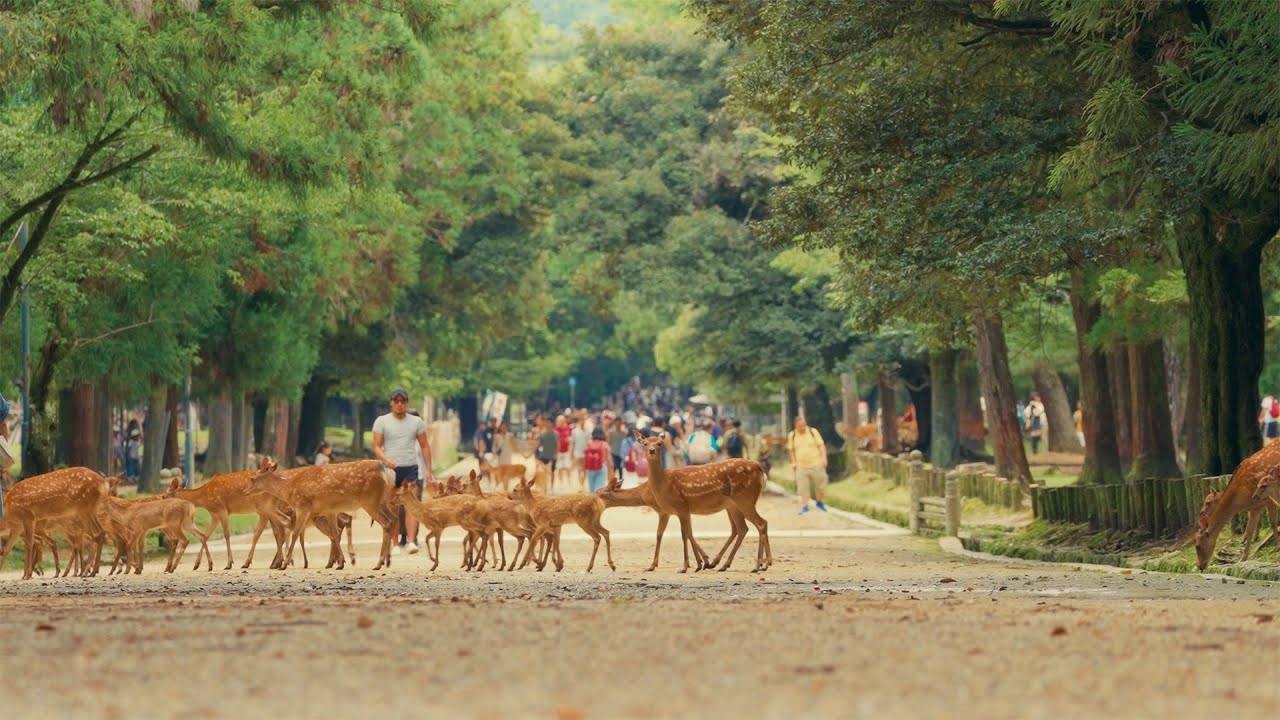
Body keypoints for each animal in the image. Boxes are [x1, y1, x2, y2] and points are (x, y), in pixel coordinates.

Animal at [244, 458, 397, 571]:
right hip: (382, 501)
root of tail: (387, 471)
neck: (288, 489)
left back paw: (378, 563)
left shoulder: (302, 506)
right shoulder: (329, 511)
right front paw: (340, 563)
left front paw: (284, 564)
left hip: (370, 500)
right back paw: (385, 561)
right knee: (392, 519)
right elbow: (334, 534)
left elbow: (295, 533)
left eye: (252, 478)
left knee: (386, 523)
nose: (245, 492)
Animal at [631, 432, 771, 573]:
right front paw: (699, 564)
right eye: (645, 443)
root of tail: (760, 470)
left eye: (659, 443)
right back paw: (730, 565)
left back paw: (758, 565)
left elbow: (684, 534)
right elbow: (687, 533)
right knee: (743, 528)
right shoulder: (680, 510)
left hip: (745, 499)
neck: (664, 482)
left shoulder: (681, 506)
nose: (652, 450)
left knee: (761, 523)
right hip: (734, 505)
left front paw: (685, 567)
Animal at [1193, 440, 1280, 570]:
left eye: (1197, 545)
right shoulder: (1255, 507)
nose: (1201, 566)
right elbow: (1250, 530)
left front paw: (1277, 549)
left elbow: (1273, 524)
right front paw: (1242, 559)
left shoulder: (1268, 499)